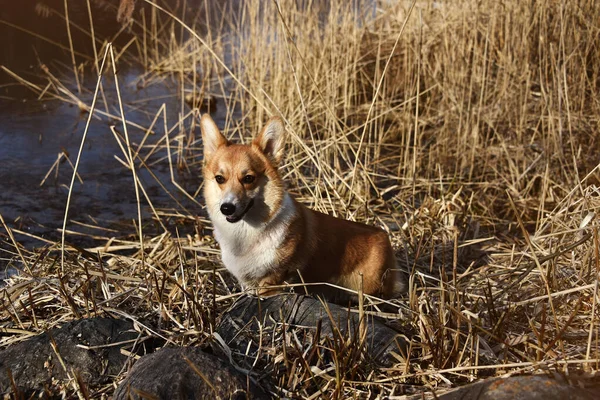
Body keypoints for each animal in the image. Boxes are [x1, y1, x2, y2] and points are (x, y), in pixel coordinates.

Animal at [199, 114, 406, 298]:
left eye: (248, 178)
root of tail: (385, 238)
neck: (245, 233)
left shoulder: (272, 281)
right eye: (220, 178)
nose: (227, 208)